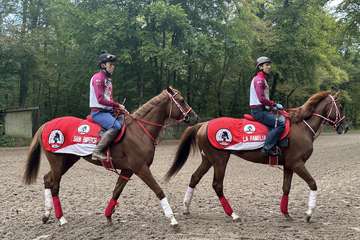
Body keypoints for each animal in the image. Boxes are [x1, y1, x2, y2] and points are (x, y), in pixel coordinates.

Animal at [23, 87, 197, 226]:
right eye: (182, 100)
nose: (195, 117)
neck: (139, 131)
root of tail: (46, 125)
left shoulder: (128, 170)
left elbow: (116, 192)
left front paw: (108, 216)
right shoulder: (141, 168)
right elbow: (158, 190)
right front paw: (172, 219)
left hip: (67, 161)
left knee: (47, 179)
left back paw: (46, 215)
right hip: (58, 162)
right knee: (54, 186)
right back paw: (61, 218)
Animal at [165, 90, 348, 223]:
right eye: (339, 106)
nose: (345, 127)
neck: (301, 126)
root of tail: (204, 124)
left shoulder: (289, 165)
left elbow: (286, 188)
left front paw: (286, 213)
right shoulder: (297, 164)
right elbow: (313, 183)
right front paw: (309, 213)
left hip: (208, 160)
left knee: (194, 178)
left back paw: (186, 208)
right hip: (220, 160)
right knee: (217, 185)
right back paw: (233, 214)